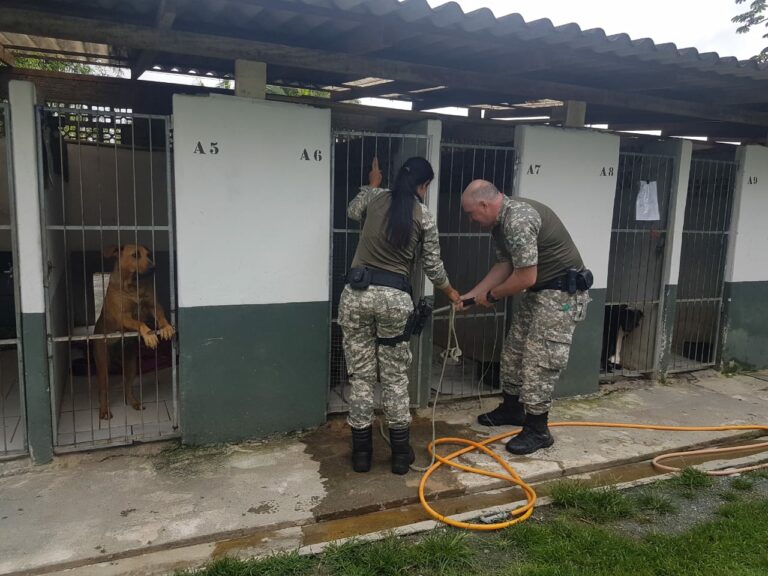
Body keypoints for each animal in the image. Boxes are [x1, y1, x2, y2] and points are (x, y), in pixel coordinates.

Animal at [91, 243, 174, 418]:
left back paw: (134, 402)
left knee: (127, 386)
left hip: (131, 365)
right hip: (103, 364)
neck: (133, 285)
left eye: (148, 254)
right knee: (103, 389)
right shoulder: (124, 317)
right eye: (135, 255)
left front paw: (166, 327)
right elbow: (140, 323)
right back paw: (104, 410)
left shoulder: (154, 306)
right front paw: (149, 335)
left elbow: (161, 317)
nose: (154, 267)